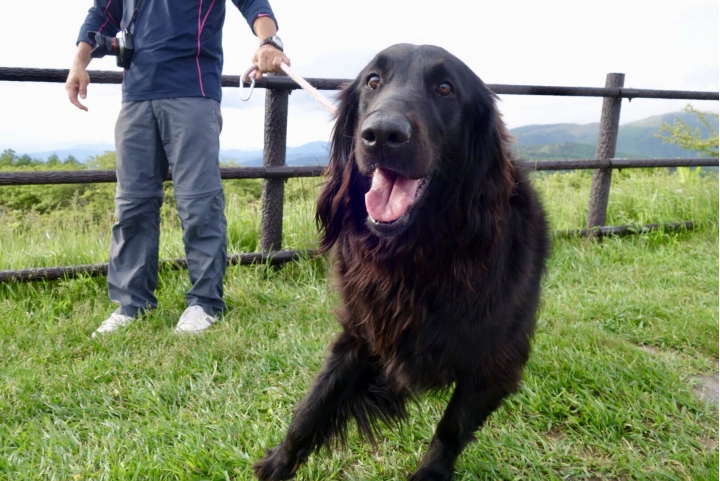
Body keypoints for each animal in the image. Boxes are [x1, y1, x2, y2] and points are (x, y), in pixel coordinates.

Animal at [255, 44, 552, 480]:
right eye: (373, 81)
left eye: (445, 88)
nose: (381, 134)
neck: (417, 255)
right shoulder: (363, 334)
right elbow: (311, 409)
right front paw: (277, 465)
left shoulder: (495, 361)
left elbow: (451, 428)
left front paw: (430, 474)